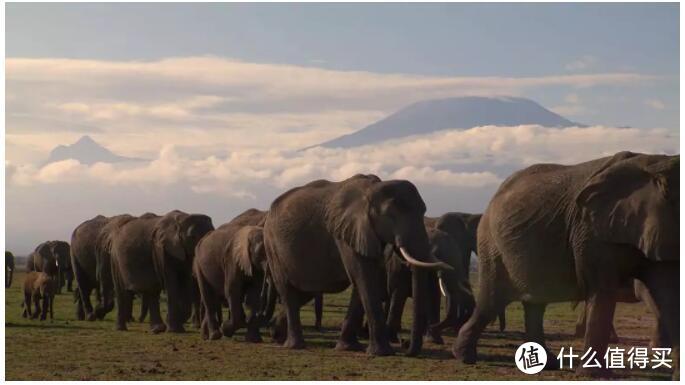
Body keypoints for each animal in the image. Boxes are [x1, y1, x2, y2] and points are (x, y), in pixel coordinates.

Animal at [194, 208, 268, 340]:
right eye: (261, 252)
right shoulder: (231, 259)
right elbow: (232, 290)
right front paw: (226, 329)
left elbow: (254, 294)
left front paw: (253, 340)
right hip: (199, 264)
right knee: (208, 297)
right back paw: (215, 335)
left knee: (214, 298)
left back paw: (205, 335)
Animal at [264, 172, 452, 356]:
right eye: (391, 215)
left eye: (424, 211)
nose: (405, 345)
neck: (372, 190)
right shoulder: (346, 232)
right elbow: (364, 277)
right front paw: (382, 352)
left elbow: (364, 280)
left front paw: (349, 348)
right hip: (273, 247)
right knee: (288, 291)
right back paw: (294, 345)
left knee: (305, 291)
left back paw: (277, 334)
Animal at [448, 150, 680, 376]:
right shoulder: (590, 231)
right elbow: (603, 291)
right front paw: (593, 376)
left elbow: (668, 294)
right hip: (491, 245)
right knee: (493, 300)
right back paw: (465, 357)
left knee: (534, 304)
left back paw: (546, 364)